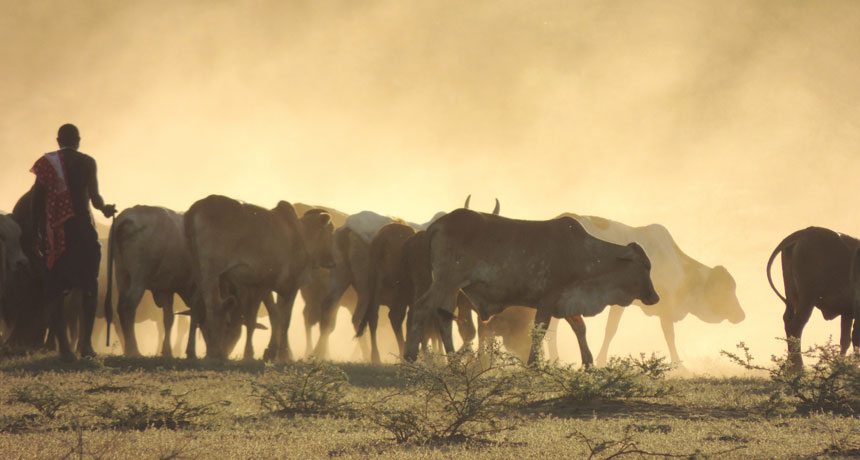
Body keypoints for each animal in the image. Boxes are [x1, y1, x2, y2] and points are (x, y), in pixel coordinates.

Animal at [185, 195, 334, 360]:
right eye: (331, 231)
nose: (332, 259)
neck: (300, 235)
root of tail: (199, 205)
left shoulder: (261, 286)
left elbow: (268, 316)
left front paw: (268, 351)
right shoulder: (289, 286)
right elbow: (283, 319)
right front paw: (282, 354)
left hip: (199, 272)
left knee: (196, 304)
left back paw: (192, 351)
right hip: (211, 272)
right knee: (214, 305)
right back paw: (215, 351)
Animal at [405, 210, 660, 365]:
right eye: (645, 266)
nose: (654, 296)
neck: (582, 253)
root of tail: (437, 225)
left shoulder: (565, 300)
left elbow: (580, 328)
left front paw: (588, 363)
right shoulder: (547, 300)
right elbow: (540, 332)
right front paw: (533, 364)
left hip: (450, 288)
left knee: (443, 316)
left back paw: (451, 358)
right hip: (446, 282)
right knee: (421, 308)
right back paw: (410, 356)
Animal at [767, 226, 860, 370]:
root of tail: (805, 232)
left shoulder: (847, 312)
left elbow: (845, 340)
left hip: (792, 298)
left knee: (788, 321)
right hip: (807, 299)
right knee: (796, 325)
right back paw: (797, 367)